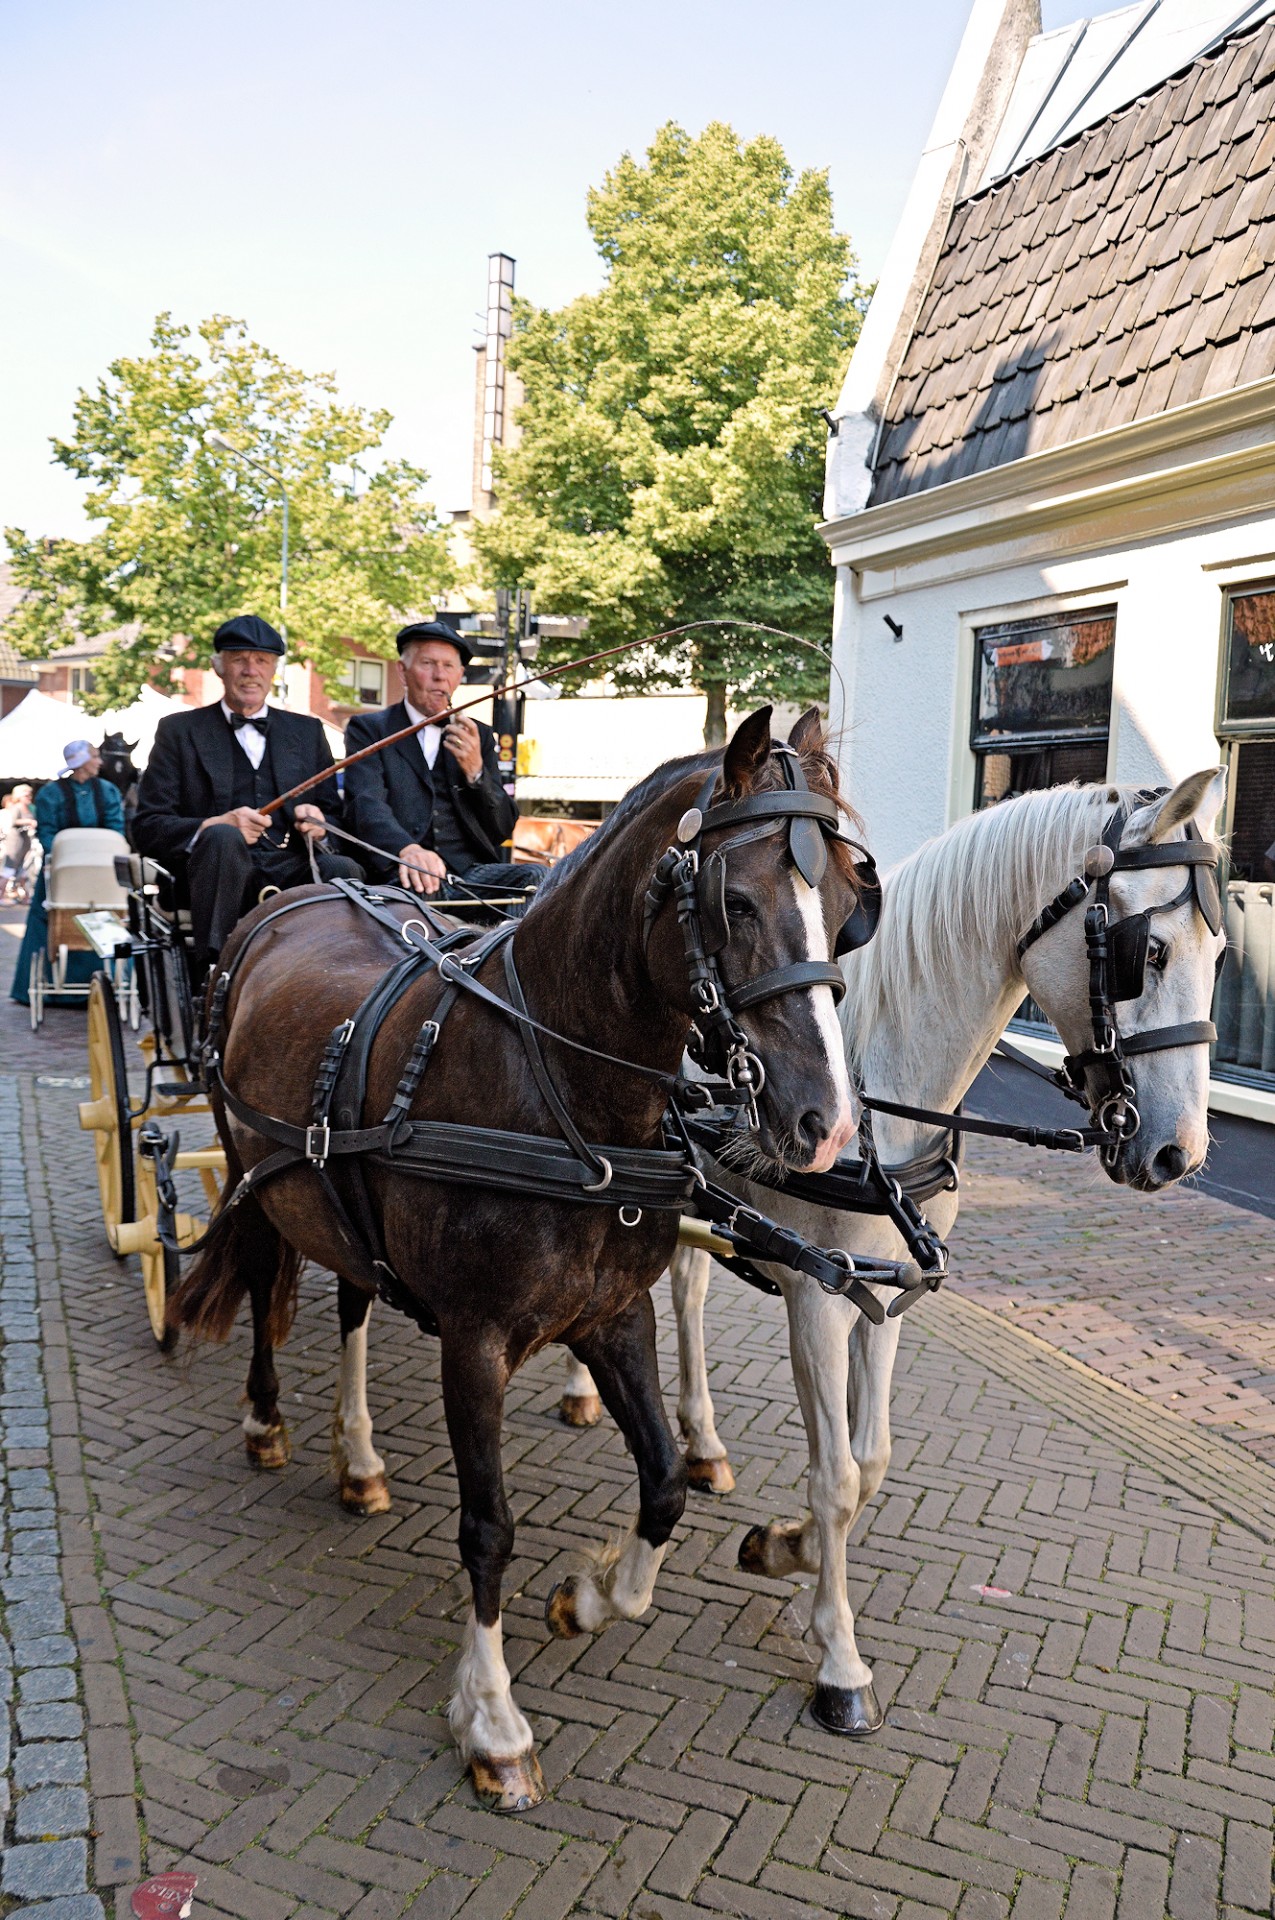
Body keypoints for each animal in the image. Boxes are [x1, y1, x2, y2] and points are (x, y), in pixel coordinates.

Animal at [168, 702, 860, 1797]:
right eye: (739, 901)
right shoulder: (475, 1340)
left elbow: (665, 1482)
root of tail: (306, 886)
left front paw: (590, 1597)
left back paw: (358, 1459)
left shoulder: (616, 1316)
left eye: (844, 901)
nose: (825, 1125)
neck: (557, 1093)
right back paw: (266, 1420)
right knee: (268, 1285)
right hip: (254, 1172)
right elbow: (487, 1526)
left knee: (353, 1300)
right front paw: (491, 1719)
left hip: (338, 1204)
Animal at [553, 771, 1228, 1735]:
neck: (880, 1087)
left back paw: (689, 1435)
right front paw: (838, 1664)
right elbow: (835, 1476)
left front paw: (781, 1549)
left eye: (1222, 957)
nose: (1180, 1153)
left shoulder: (888, 1293)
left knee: (683, 1290)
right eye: (1152, 952)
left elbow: (870, 1462)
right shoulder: (815, 1296)